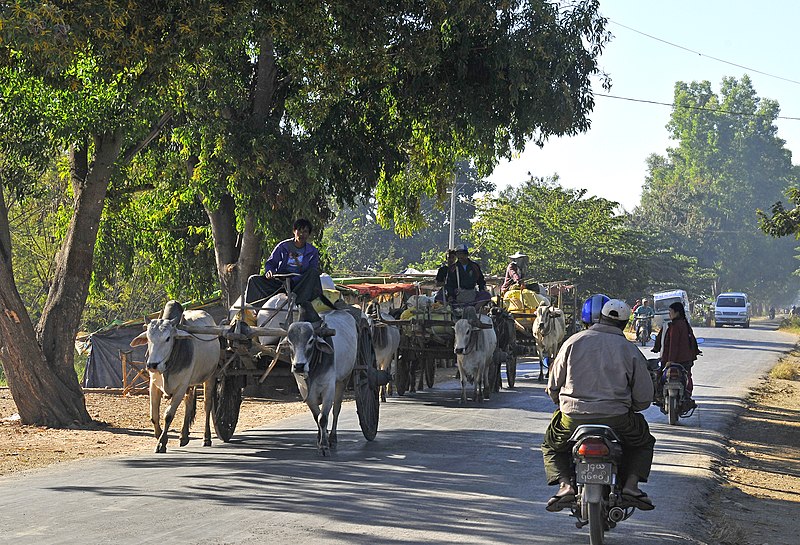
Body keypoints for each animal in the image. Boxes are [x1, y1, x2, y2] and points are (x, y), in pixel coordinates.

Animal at [130, 300, 220, 452]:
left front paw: (162, 442)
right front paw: (159, 436)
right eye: (148, 338)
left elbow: (168, 415)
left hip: (210, 376)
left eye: (168, 338)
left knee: (207, 405)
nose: (152, 365)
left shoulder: (180, 387)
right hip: (190, 383)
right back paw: (184, 436)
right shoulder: (153, 385)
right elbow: (154, 415)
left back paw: (206, 438)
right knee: (188, 402)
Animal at [282, 310, 356, 454]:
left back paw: (332, 437)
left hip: (344, 379)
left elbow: (323, 417)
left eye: (311, 340)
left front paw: (324, 445)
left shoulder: (328, 388)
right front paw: (320, 438)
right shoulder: (305, 391)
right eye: (289, 342)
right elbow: (317, 416)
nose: (299, 366)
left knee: (336, 409)